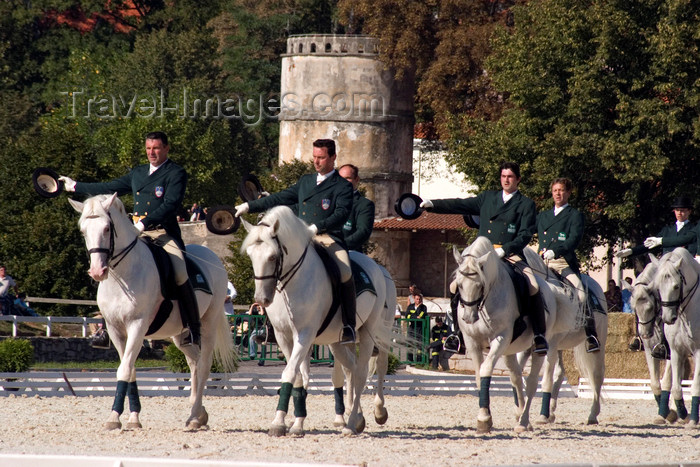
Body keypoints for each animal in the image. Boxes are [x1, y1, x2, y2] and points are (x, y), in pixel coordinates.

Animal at [69, 194, 237, 432]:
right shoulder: (115, 329)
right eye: (83, 231)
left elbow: (124, 369)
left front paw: (114, 418)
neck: (122, 276)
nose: (97, 271)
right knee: (194, 364)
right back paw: (198, 412)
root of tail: (212, 257)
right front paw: (133, 418)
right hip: (180, 335)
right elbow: (129, 369)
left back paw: (195, 417)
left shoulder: (137, 326)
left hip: (209, 322)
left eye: (107, 228)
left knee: (204, 365)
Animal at [241, 207, 396, 436]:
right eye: (251, 256)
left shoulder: (305, 334)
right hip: (338, 342)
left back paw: (363, 418)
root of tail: (377, 268)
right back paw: (358, 417)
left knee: (366, 371)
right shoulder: (283, 336)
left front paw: (278, 423)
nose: (261, 299)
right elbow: (298, 376)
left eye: (273, 256)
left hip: (372, 333)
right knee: (351, 368)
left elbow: (290, 372)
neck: (293, 282)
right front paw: (294, 423)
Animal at [520, 249, 608, 428]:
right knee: (560, 374)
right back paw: (551, 412)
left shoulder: (549, 347)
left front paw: (541, 416)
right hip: (559, 347)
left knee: (597, 375)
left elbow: (546, 380)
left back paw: (592, 415)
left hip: (598, 342)